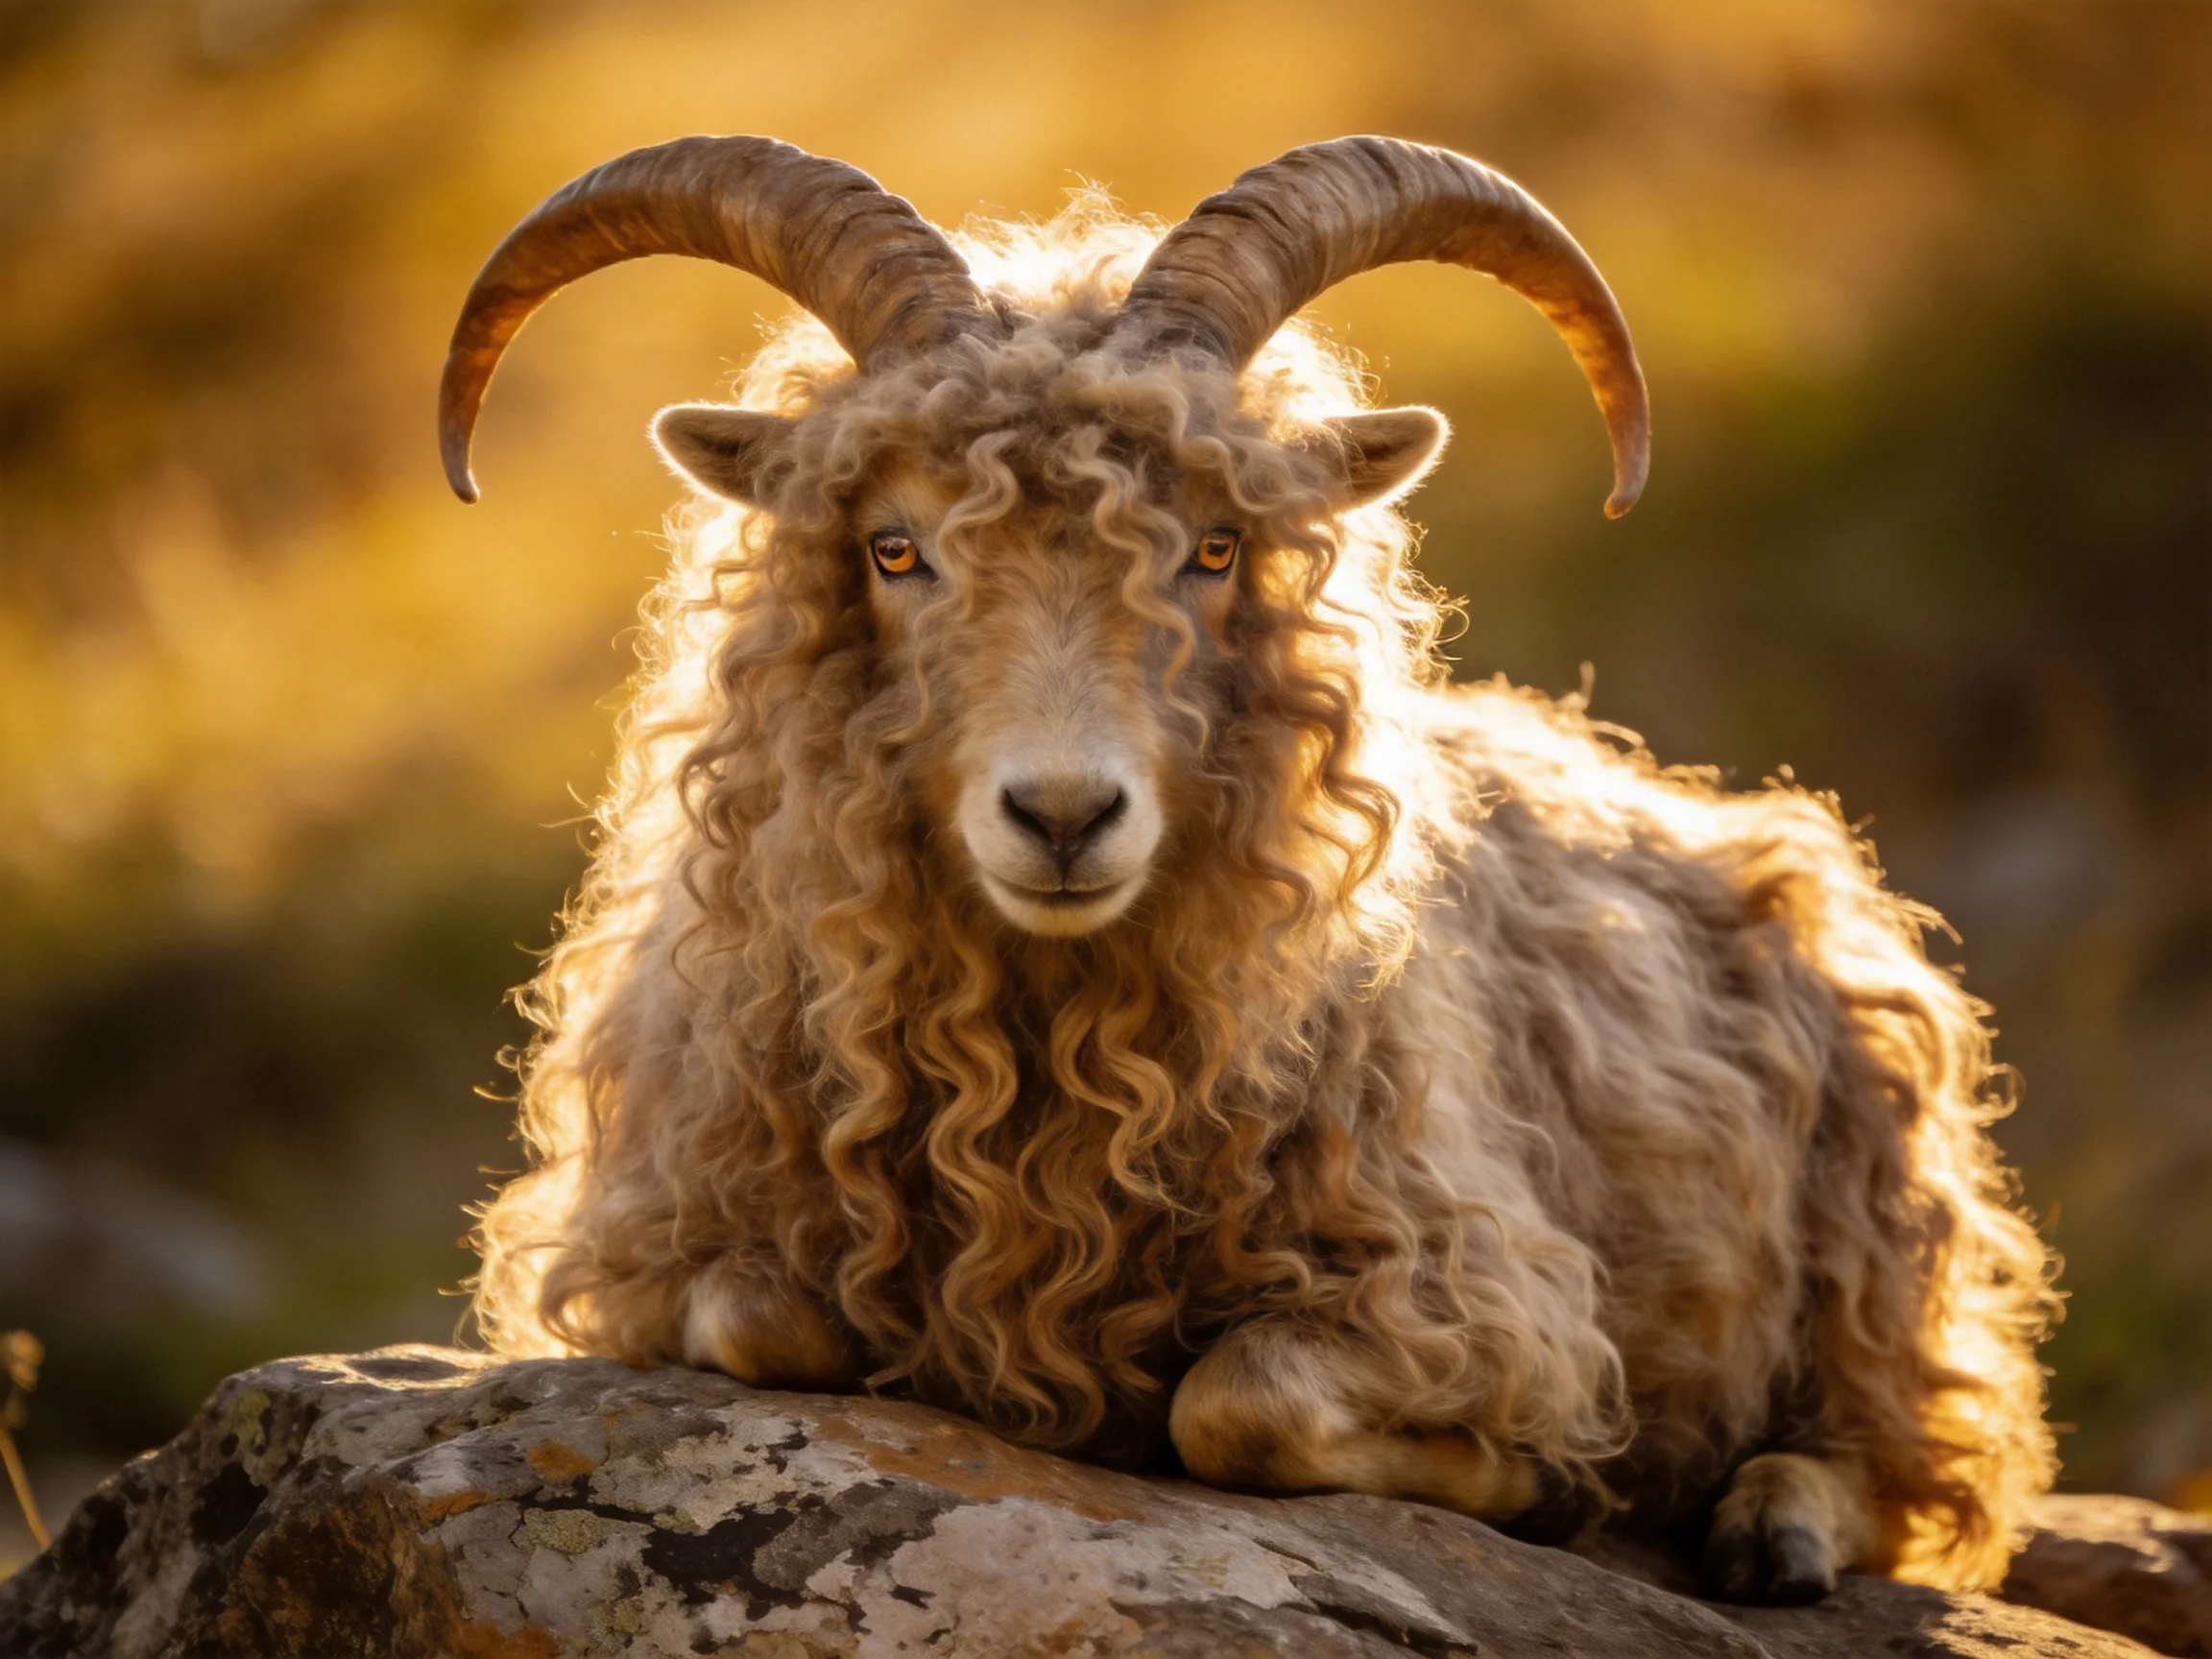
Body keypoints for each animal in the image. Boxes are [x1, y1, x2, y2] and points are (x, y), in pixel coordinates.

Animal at [442, 135, 2056, 1601]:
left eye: (1215, 548)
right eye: (895, 550)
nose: (1065, 814)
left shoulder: (1482, 1279)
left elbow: (1243, 1409)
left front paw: (1531, 1482)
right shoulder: (658, 1236)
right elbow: (763, 1324)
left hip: (1880, 1229)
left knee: (1916, 1464)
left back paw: (1774, 1529)